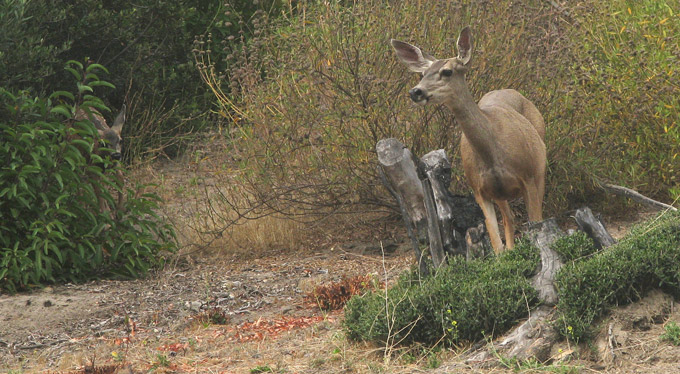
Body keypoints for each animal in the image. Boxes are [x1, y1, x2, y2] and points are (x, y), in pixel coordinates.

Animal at [390, 27, 544, 254]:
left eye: (447, 71)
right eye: (423, 74)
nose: (415, 91)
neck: (492, 153)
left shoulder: (528, 177)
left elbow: (537, 226)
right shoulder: (479, 190)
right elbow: (496, 244)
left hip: (540, 169)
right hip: (500, 192)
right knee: (509, 218)